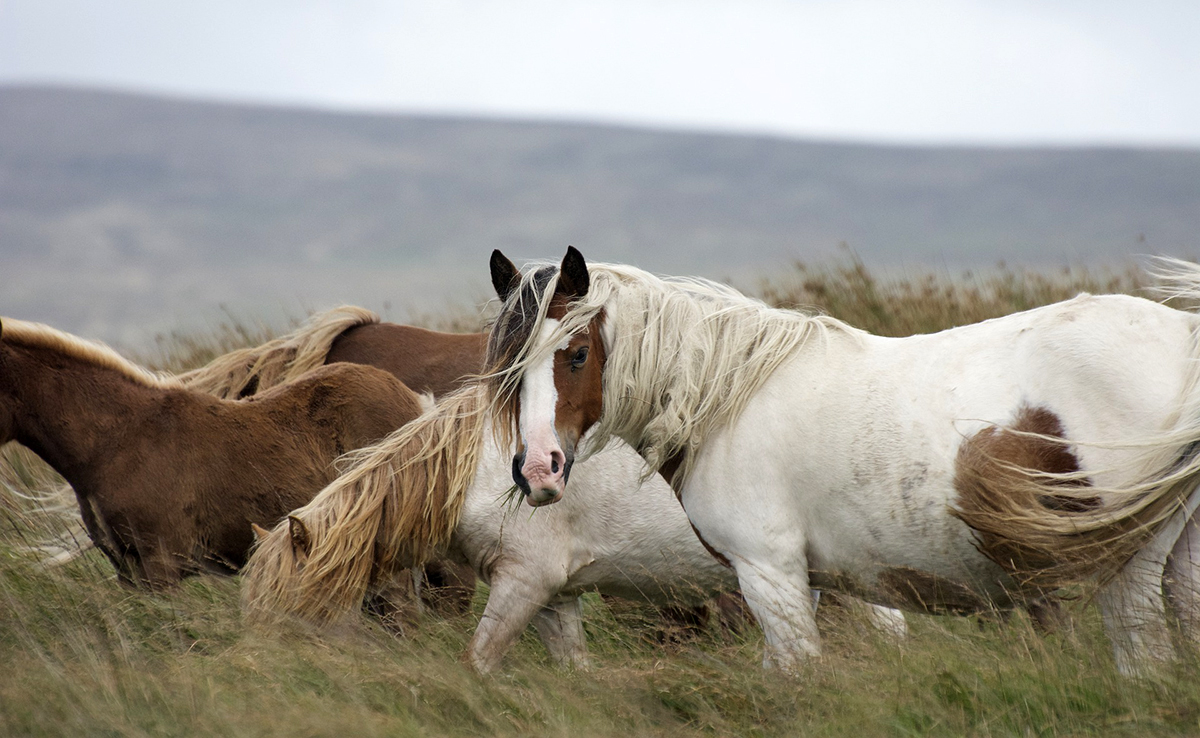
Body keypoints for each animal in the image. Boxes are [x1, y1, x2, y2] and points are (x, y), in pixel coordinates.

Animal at [238, 384, 902, 672]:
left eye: (289, 607)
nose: (252, 669)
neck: (478, 470)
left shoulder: (523, 583)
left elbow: (477, 660)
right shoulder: (553, 598)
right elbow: (575, 670)